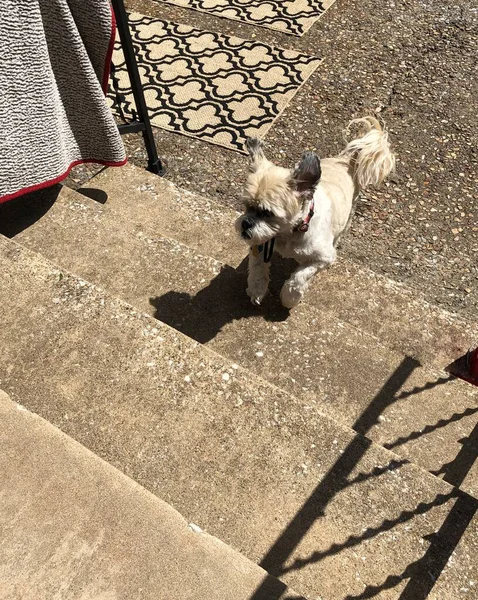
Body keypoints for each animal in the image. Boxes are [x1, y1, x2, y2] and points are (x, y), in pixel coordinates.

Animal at [235, 116, 396, 308]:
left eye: (268, 213)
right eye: (246, 206)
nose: (246, 223)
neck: (289, 234)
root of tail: (346, 160)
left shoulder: (322, 258)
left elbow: (298, 278)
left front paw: (289, 298)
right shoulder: (261, 243)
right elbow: (257, 268)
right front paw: (257, 289)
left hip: (348, 213)